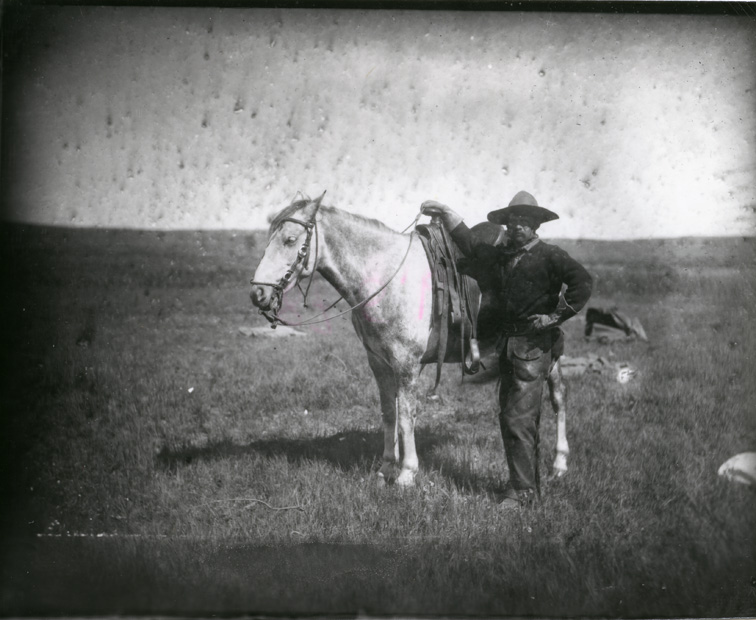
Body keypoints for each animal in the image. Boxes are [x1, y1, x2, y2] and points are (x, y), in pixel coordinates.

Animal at [249, 193, 569, 487]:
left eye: (290, 240)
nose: (257, 294)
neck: (386, 279)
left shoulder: (406, 363)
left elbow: (405, 415)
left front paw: (406, 474)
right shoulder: (379, 362)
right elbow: (389, 413)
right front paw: (386, 468)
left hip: (548, 351)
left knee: (558, 398)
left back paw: (559, 464)